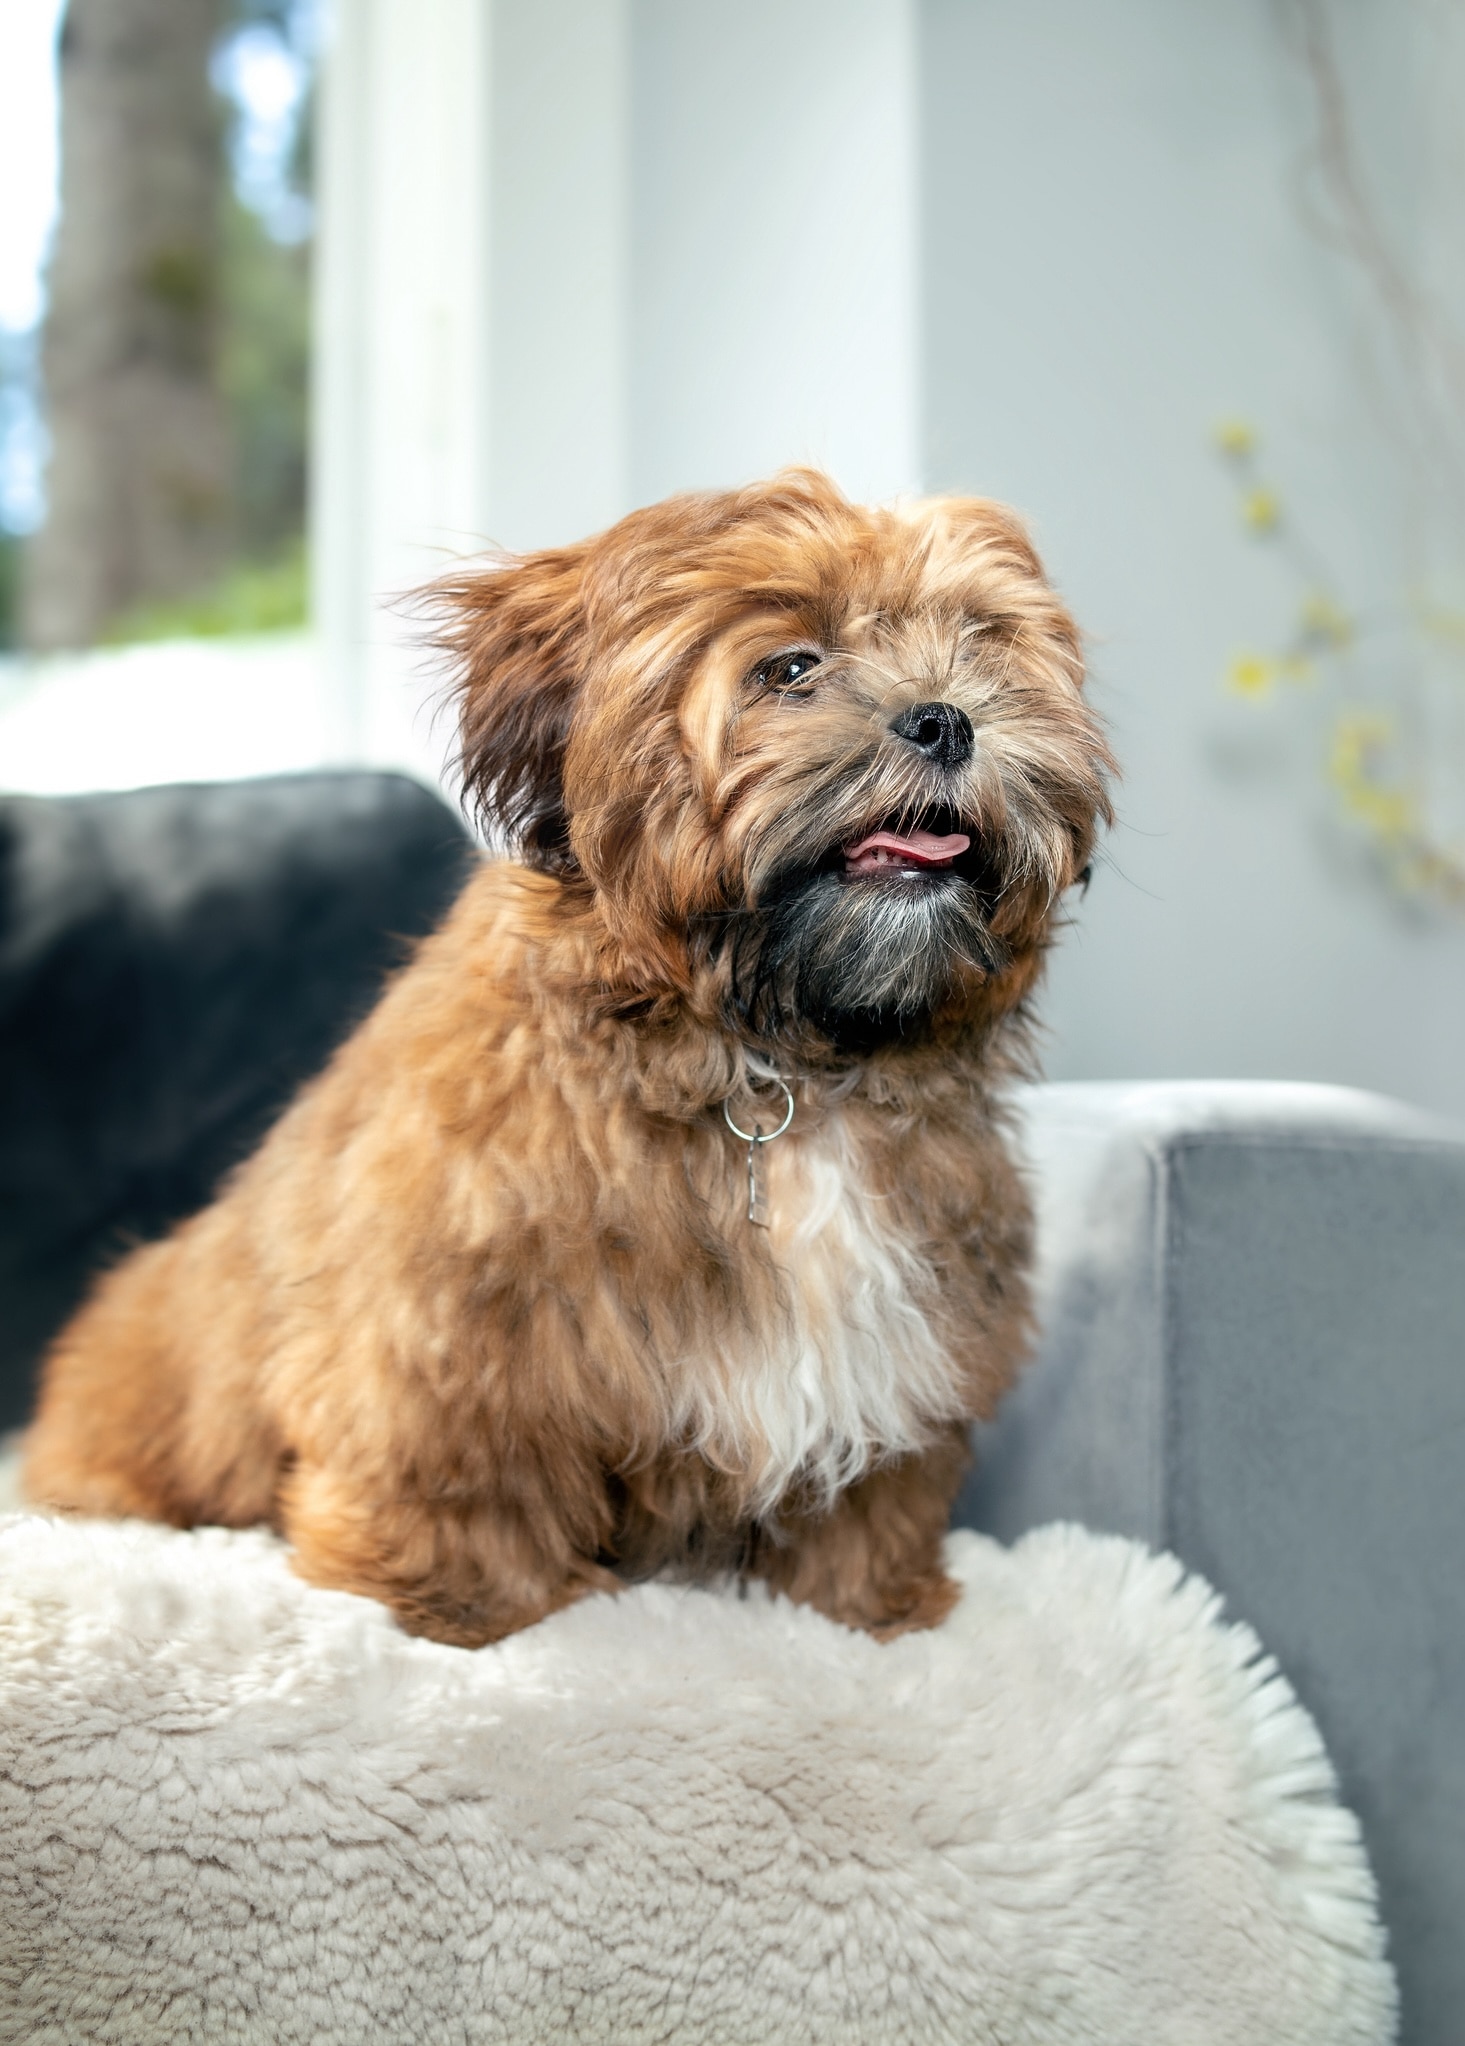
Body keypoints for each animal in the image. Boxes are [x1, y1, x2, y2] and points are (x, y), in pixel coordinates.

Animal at [22, 468, 1113, 1644]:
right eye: (790, 668)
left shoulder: (908, 1343)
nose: (945, 717)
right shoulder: (454, 1333)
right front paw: (463, 1604)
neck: (772, 1065)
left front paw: (869, 1605)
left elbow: (876, 1487)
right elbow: (465, 1474)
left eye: (982, 645)